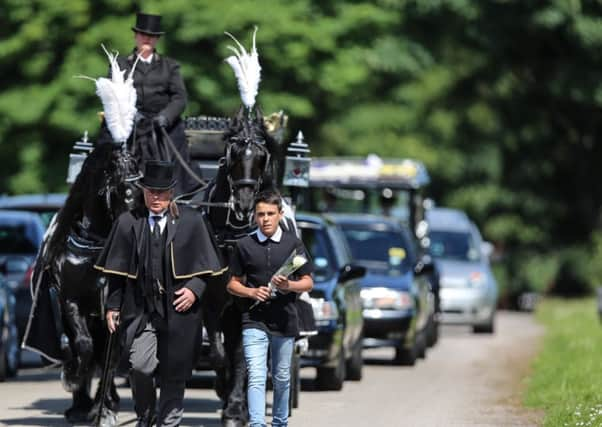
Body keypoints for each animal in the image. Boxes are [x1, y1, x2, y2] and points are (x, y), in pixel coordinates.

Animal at [23, 142, 141, 426]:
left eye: (142, 186)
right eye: (125, 190)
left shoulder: (113, 309)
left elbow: (109, 357)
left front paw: (104, 409)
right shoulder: (70, 301)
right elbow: (84, 347)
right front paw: (72, 378)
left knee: (107, 356)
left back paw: (103, 404)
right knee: (86, 347)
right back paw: (80, 404)